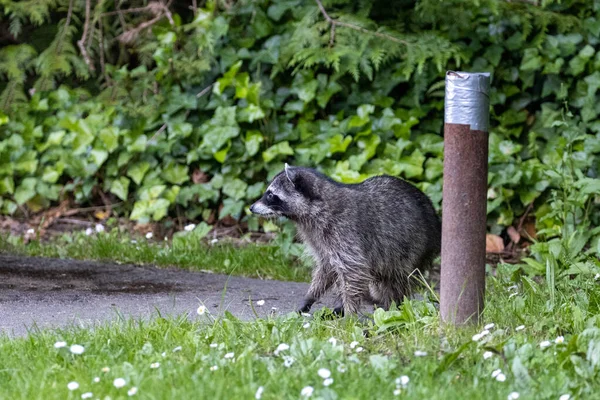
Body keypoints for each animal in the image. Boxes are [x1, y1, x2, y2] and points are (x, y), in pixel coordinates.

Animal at [248, 164, 440, 318]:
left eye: (270, 195)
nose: (250, 207)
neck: (314, 209)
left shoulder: (344, 233)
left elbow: (354, 271)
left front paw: (350, 316)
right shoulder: (321, 240)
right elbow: (327, 268)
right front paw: (310, 297)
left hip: (413, 246)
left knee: (397, 278)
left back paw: (394, 306)